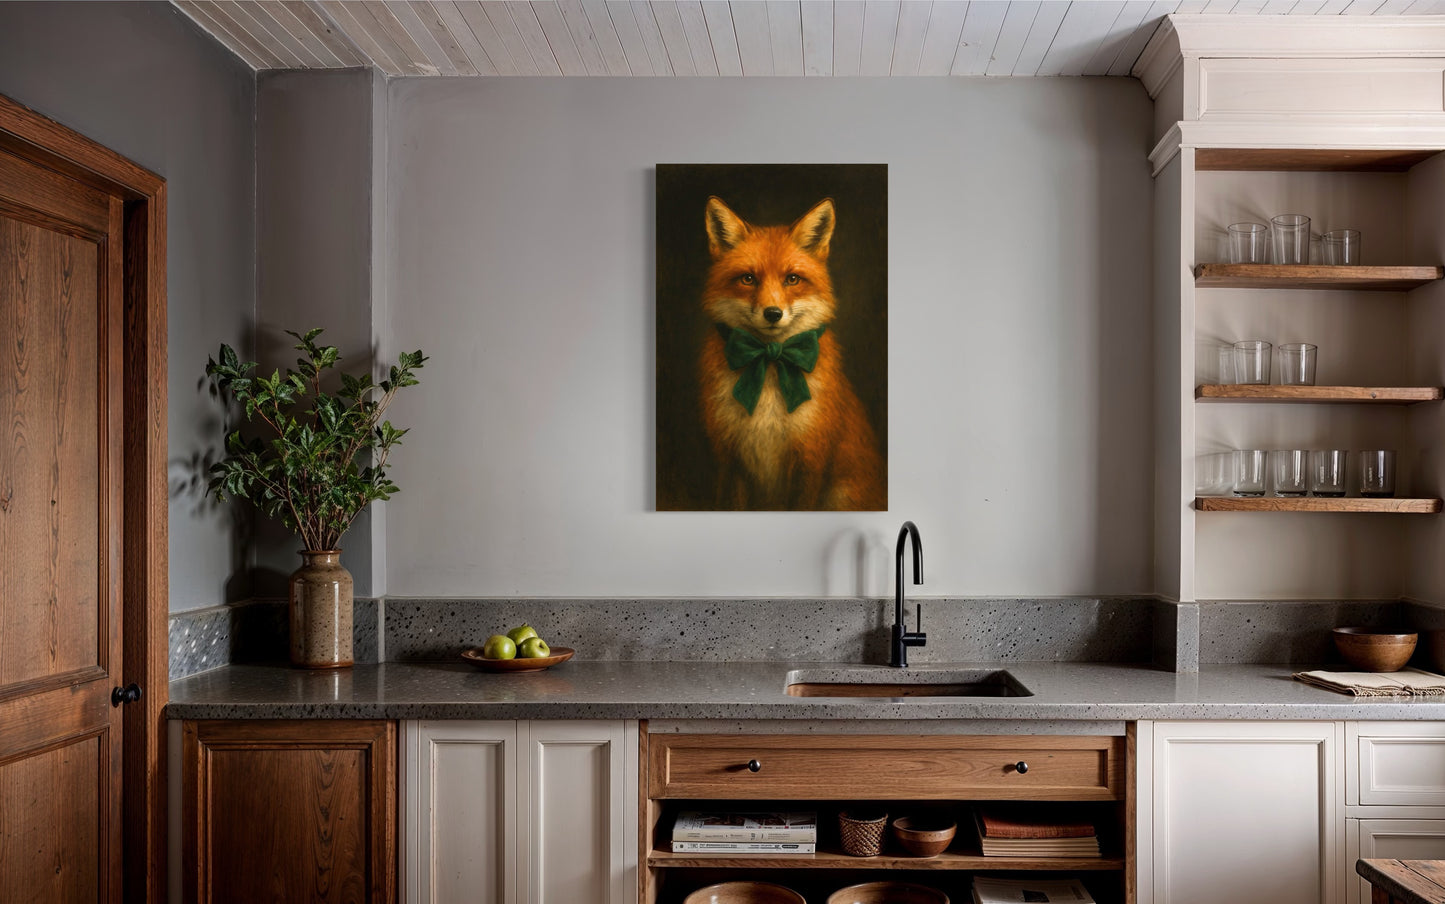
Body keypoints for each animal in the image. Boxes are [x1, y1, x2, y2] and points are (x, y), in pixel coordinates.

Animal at [698, 195, 886, 511]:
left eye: (792, 279)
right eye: (748, 279)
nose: (773, 314)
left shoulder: (810, 458)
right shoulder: (730, 458)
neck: (770, 362)